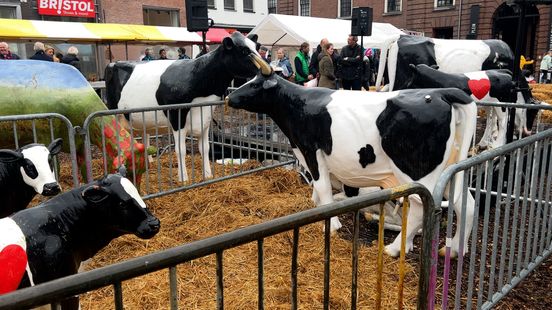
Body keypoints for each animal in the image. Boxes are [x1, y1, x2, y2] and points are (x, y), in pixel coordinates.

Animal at [107, 32, 264, 182]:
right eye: (244, 50)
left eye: (257, 47)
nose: (269, 68)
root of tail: (114, 63)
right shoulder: (177, 116)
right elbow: (180, 149)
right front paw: (183, 178)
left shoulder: (205, 116)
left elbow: (205, 148)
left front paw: (208, 175)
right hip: (114, 112)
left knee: (144, 137)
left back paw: (149, 162)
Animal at [225, 59, 478, 258]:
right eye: (249, 79)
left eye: (255, 84)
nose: (229, 97)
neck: (296, 104)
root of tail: (441, 93)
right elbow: (317, 187)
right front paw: (314, 206)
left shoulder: (311, 149)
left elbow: (323, 186)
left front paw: (332, 225)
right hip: (447, 167)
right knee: (466, 204)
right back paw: (455, 250)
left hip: (416, 170)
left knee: (419, 207)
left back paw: (394, 249)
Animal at [408, 63, 536, 149]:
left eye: (411, 79)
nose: (529, 132)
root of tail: (505, 72)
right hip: (491, 104)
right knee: (491, 121)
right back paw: (483, 144)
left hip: (501, 104)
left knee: (503, 121)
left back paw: (497, 145)